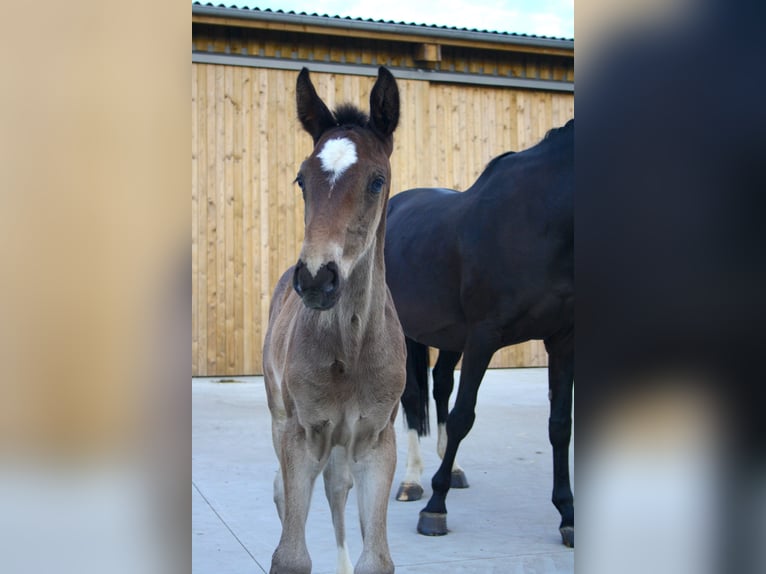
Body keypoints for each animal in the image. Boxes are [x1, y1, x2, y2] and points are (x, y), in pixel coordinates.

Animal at [262, 67, 408, 574]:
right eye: (301, 180)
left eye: (377, 181)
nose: (315, 279)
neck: (351, 349)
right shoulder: (302, 435)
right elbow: (290, 554)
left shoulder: (376, 440)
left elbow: (376, 558)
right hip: (280, 418)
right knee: (284, 492)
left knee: (337, 487)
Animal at [384, 119, 576, 548]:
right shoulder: (485, 335)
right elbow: (462, 416)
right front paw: (434, 509)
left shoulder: (562, 339)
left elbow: (559, 426)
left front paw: (568, 515)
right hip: (407, 331)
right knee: (412, 396)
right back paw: (411, 480)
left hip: (451, 337)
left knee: (439, 383)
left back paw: (450, 468)